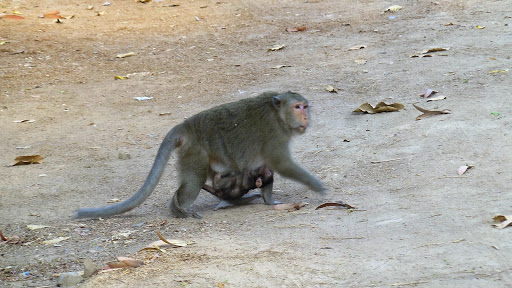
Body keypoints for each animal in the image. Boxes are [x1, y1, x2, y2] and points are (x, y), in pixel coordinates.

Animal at [74, 91, 326, 219]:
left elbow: (268, 171)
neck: (277, 114)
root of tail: (186, 126)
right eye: (298, 107)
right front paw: (318, 187)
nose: (306, 117)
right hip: (195, 152)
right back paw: (179, 209)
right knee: (192, 184)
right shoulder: (274, 134)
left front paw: (269, 200)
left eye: (305, 106)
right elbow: (282, 164)